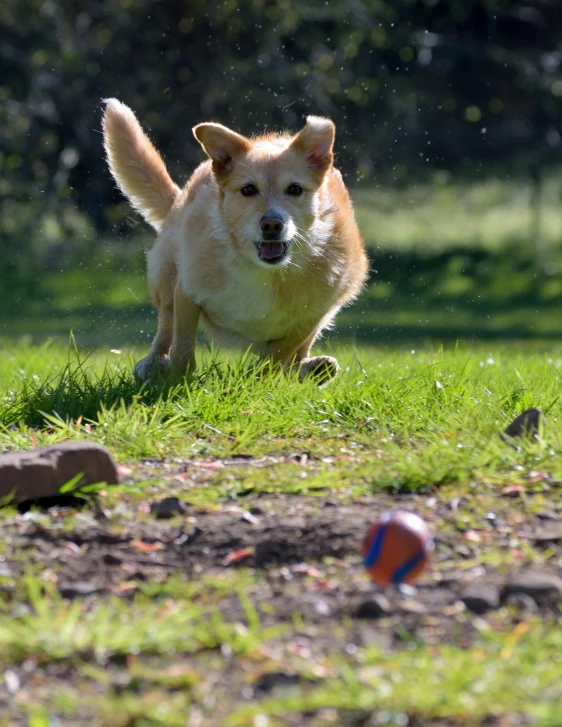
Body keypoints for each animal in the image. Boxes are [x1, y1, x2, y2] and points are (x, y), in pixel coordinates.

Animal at [100, 102, 368, 386]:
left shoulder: (313, 314)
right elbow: (182, 343)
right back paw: (153, 363)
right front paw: (175, 380)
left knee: (296, 356)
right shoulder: (187, 289)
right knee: (165, 323)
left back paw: (310, 369)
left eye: (295, 189)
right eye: (248, 189)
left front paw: (254, 382)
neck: (265, 273)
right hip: (164, 273)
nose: (272, 224)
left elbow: (279, 354)